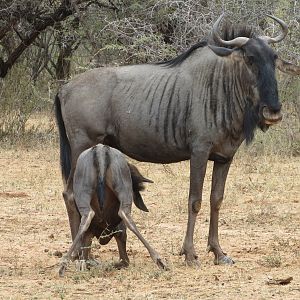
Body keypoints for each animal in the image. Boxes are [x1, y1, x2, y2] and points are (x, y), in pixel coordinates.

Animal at [58, 144, 166, 276]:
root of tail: (100, 150)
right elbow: (123, 260)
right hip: (121, 187)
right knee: (123, 215)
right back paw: (158, 259)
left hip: (87, 189)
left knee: (88, 216)